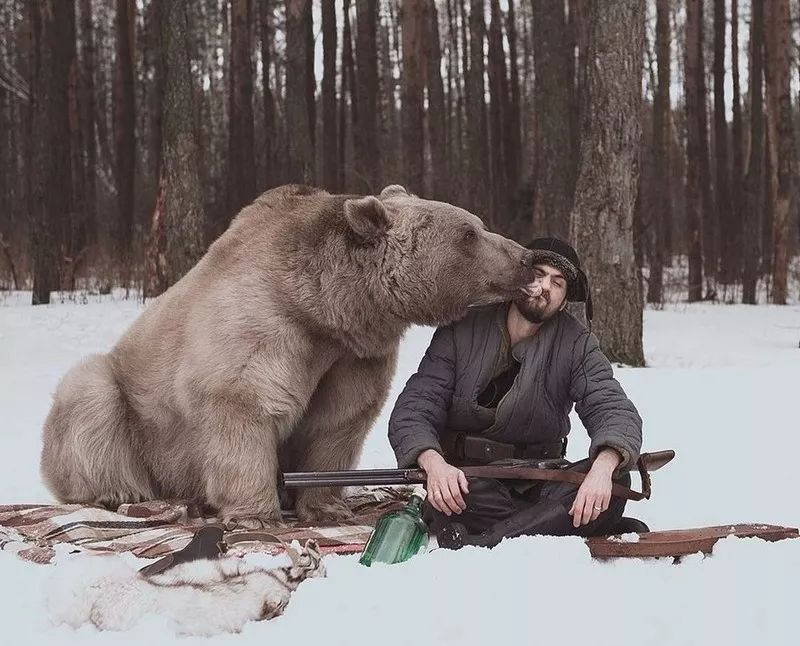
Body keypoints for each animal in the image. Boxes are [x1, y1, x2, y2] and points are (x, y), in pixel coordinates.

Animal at [39, 185, 536, 528]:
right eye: (469, 233)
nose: (527, 257)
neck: (328, 309)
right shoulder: (266, 327)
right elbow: (241, 402)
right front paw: (255, 513)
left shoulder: (354, 357)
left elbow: (339, 421)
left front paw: (328, 507)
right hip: (127, 408)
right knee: (88, 397)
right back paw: (118, 491)